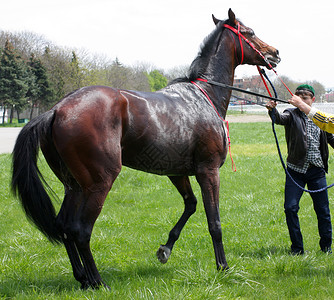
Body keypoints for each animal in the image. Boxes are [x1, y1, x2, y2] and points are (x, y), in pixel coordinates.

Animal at [11, 9, 280, 290]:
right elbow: (213, 221)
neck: (204, 96)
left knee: (64, 226)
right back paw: (97, 281)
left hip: (73, 185)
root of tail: (56, 110)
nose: (274, 53)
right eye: (250, 32)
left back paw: (82, 278)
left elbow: (191, 205)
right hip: (98, 183)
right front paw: (223, 267)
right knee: (80, 230)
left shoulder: (177, 172)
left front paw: (166, 249)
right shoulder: (208, 171)